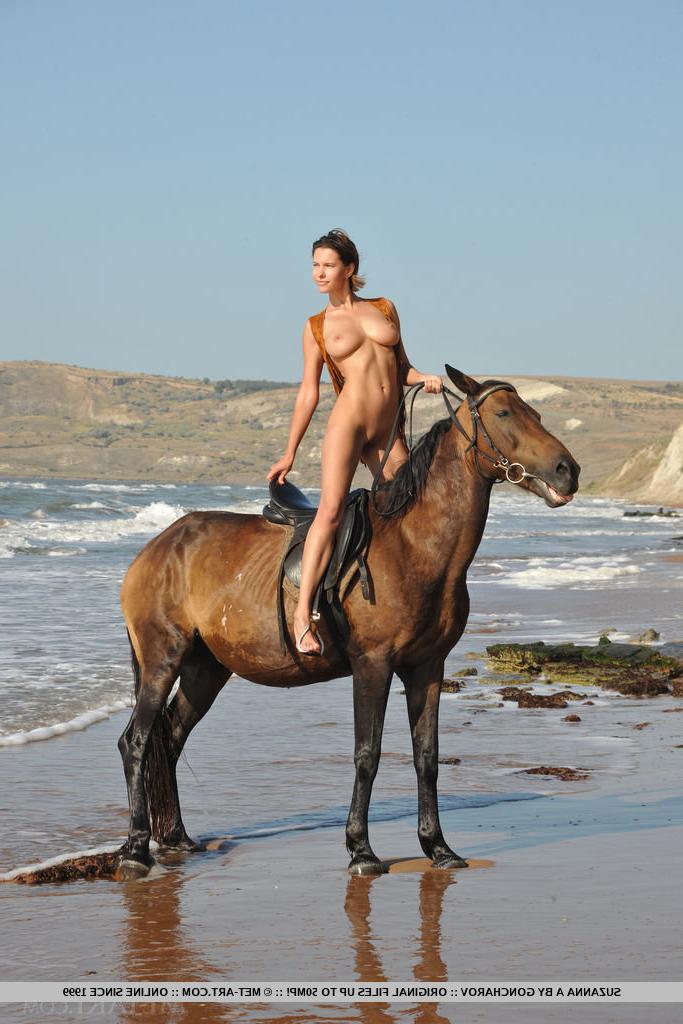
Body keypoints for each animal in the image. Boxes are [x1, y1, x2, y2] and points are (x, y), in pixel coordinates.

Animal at [117, 366, 580, 878]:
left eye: (535, 413)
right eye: (503, 414)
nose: (568, 470)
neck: (414, 546)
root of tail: (156, 547)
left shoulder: (428, 668)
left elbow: (427, 757)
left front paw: (438, 847)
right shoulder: (372, 665)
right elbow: (367, 754)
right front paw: (361, 849)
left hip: (206, 669)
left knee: (170, 739)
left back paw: (175, 837)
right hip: (163, 660)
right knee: (137, 741)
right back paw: (136, 850)